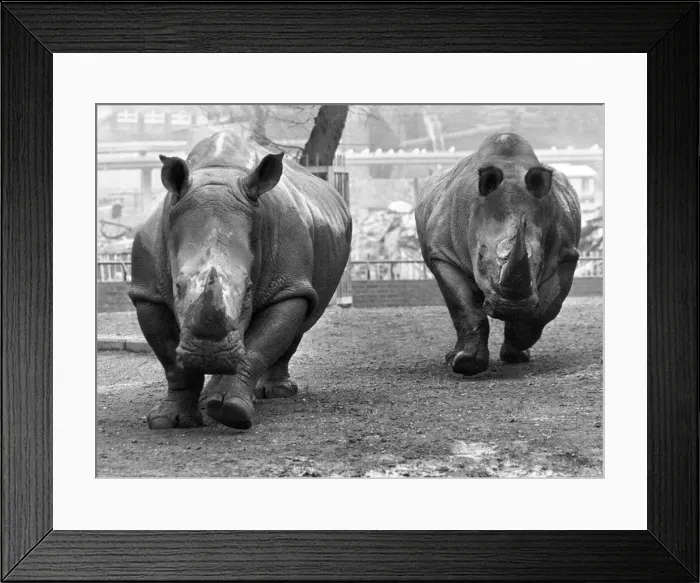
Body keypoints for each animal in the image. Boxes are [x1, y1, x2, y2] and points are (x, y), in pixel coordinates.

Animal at [129, 131, 352, 429]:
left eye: (248, 290)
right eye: (178, 287)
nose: (208, 354)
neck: (219, 174)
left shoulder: (288, 285)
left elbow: (260, 346)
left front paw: (231, 411)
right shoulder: (148, 293)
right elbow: (171, 361)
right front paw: (168, 420)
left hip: (303, 275)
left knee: (301, 320)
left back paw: (273, 393)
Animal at [415, 133, 581, 375]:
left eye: (540, 264)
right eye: (480, 259)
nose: (511, 308)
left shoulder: (566, 255)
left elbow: (546, 308)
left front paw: (516, 347)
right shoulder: (442, 254)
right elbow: (463, 306)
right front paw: (466, 364)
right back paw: (453, 359)